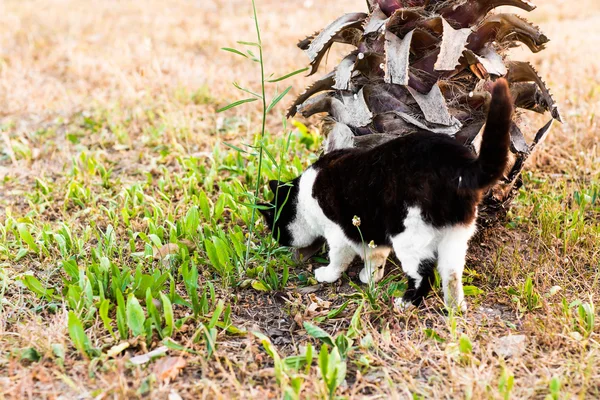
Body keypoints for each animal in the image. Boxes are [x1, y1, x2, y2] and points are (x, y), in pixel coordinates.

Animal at [260, 78, 512, 310]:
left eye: (274, 225)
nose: (278, 241)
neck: (303, 198)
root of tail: (459, 163)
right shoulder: (367, 235)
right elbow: (376, 257)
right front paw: (370, 276)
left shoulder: (338, 233)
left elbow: (338, 259)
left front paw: (327, 274)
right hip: (456, 236)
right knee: (451, 276)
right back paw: (454, 309)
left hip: (408, 237)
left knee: (424, 275)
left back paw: (406, 303)